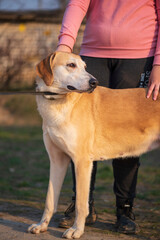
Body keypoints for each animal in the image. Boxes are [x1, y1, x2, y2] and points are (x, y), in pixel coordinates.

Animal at [28, 52, 160, 238]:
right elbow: (50, 200)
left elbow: (81, 204)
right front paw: (42, 225)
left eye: (84, 67)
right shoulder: (57, 161)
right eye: (71, 65)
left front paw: (76, 230)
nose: (94, 82)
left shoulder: (82, 162)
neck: (60, 102)